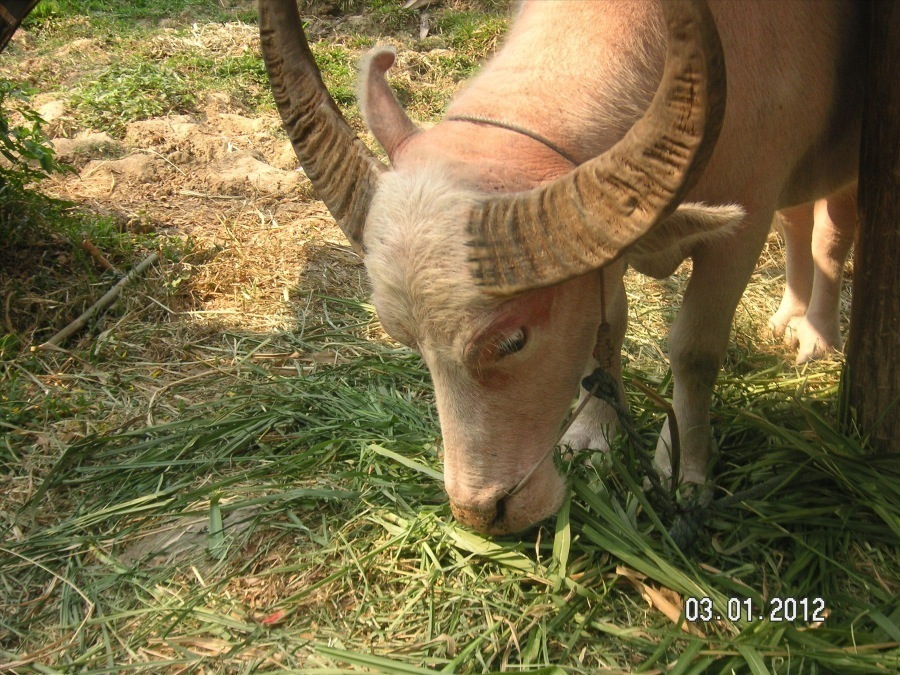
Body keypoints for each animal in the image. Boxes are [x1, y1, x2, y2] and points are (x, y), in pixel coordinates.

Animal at [256, 2, 860, 536]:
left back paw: (817, 334)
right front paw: (592, 439)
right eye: (409, 343)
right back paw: (788, 317)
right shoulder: (604, 247)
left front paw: (684, 474)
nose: (482, 513)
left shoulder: (742, 227)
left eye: (512, 341)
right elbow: (604, 331)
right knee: (797, 219)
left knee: (831, 234)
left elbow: (695, 351)